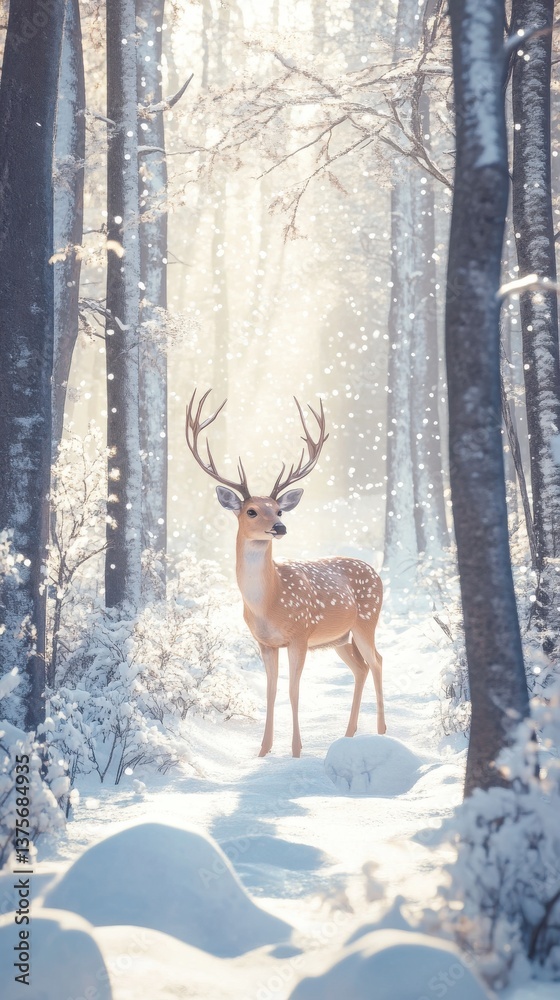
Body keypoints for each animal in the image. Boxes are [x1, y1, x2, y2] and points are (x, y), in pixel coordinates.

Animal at [185, 389, 385, 758]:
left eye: (278, 509)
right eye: (251, 511)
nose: (280, 527)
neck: (269, 602)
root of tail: (375, 572)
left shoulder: (300, 634)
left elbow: (294, 691)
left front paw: (295, 751)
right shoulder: (265, 643)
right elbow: (271, 692)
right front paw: (263, 751)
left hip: (366, 620)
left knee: (377, 660)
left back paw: (381, 732)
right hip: (340, 638)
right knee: (361, 667)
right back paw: (349, 734)